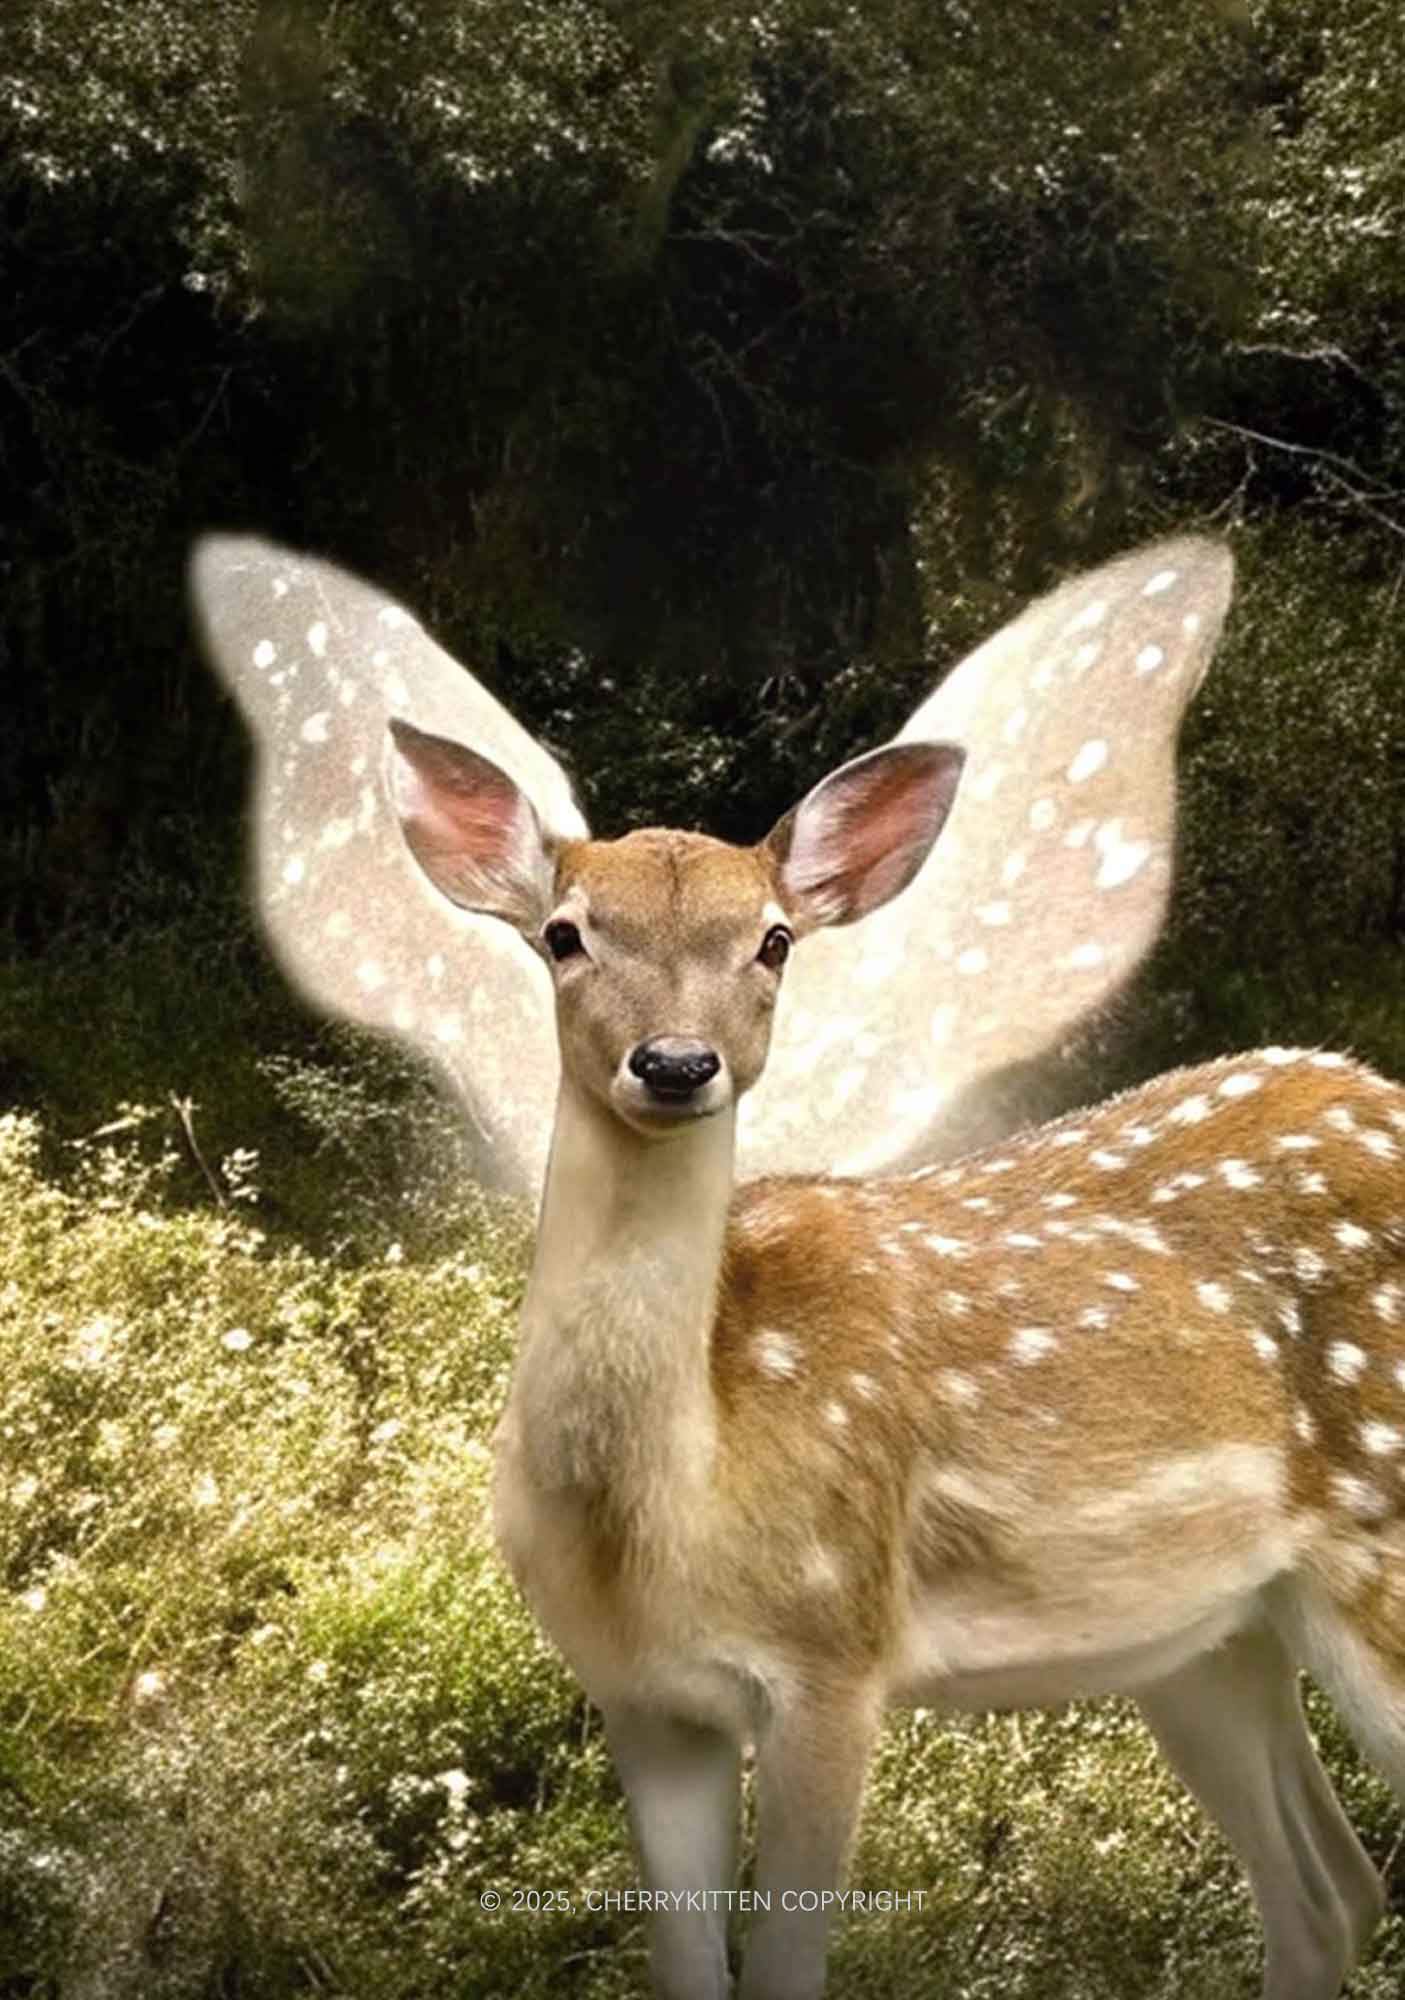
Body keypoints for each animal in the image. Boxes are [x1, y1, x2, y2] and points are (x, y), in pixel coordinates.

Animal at [384, 711, 1404, 2000]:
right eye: (565, 933)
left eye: (772, 939)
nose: (674, 1062)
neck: (667, 1508)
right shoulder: (641, 1698)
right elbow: (687, 1968)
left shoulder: (832, 1651)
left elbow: (782, 1967)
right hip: (1206, 1631)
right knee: (1327, 1889)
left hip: (1377, 1544)